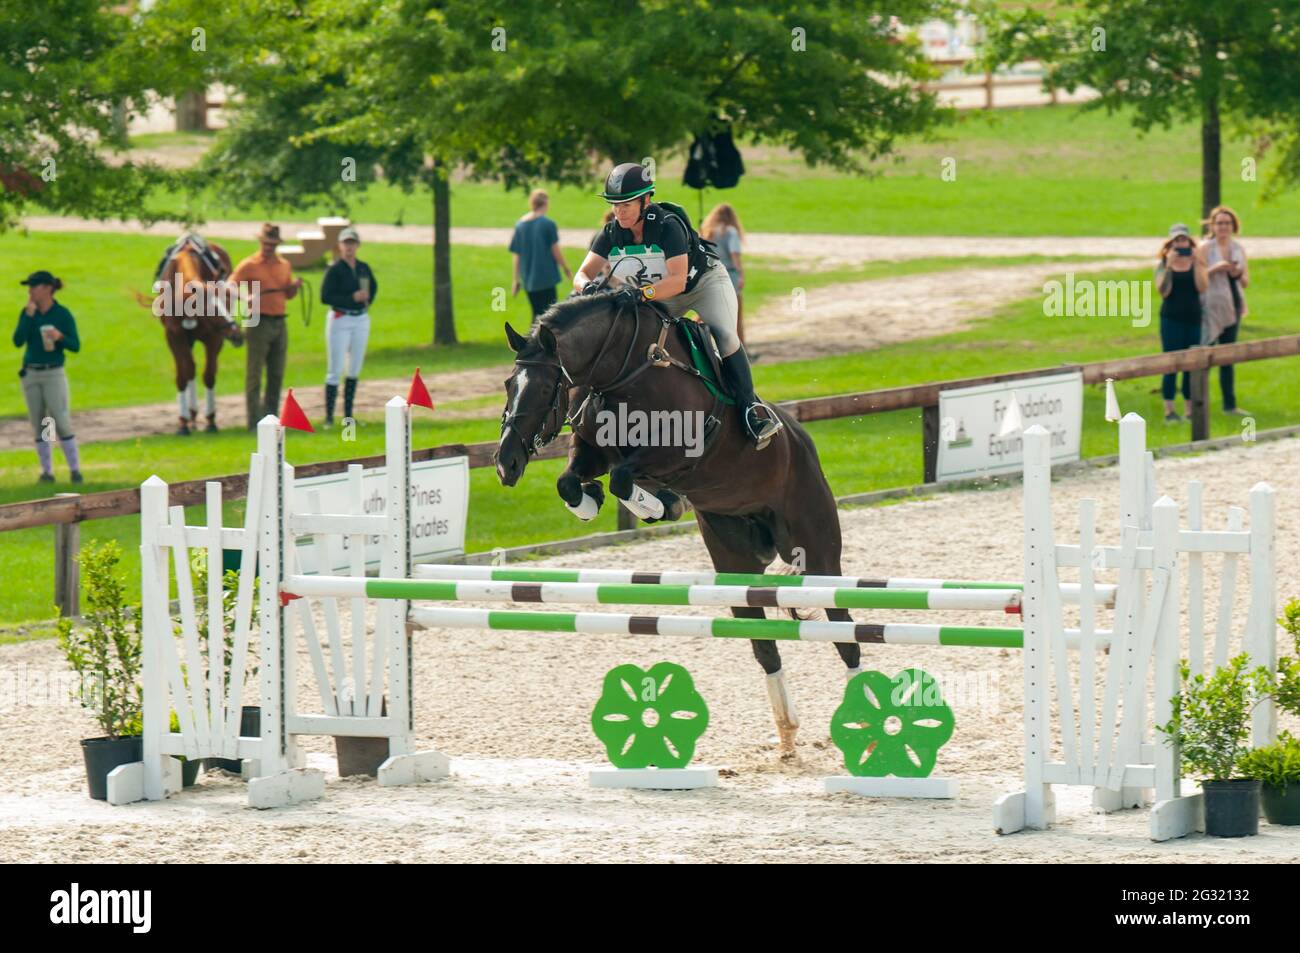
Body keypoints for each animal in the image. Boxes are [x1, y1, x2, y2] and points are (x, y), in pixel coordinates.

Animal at [491, 293, 857, 754]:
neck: (622, 370)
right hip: (734, 563)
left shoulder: (677, 450)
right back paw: (787, 732)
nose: (505, 464)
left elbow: (623, 477)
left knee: (845, 632)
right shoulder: (593, 449)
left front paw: (658, 506)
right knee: (765, 646)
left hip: (819, 553)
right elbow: (570, 482)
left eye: (543, 387)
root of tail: (801, 439)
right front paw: (602, 502)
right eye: (509, 384)